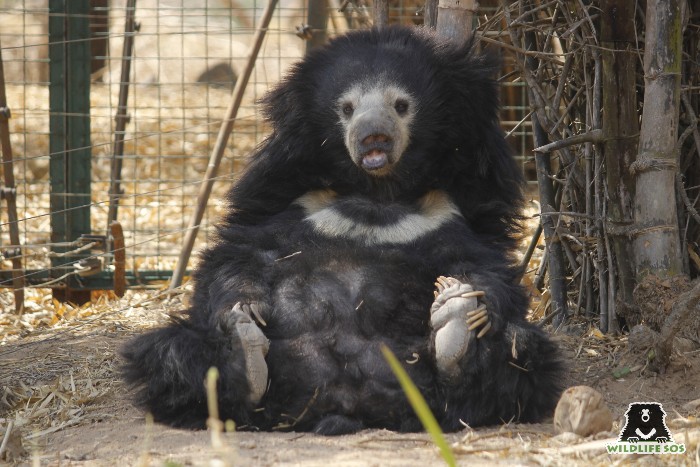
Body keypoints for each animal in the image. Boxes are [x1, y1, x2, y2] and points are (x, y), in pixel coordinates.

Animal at [121, 24, 564, 436]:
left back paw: (454, 334)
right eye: (347, 108)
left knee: (520, 355)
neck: (377, 195)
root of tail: (341, 402)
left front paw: (466, 299)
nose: (373, 137)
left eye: (401, 105)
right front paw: (244, 309)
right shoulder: (294, 201)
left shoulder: (453, 213)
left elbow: (484, 265)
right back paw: (246, 354)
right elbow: (242, 257)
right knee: (175, 355)